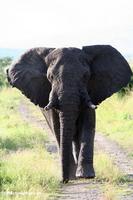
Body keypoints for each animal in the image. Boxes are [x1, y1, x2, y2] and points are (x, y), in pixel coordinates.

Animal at [7, 45, 132, 183]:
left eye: (86, 76)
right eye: (50, 77)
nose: (64, 180)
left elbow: (87, 126)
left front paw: (86, 176)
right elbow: (57, 129)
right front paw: (72, 176)